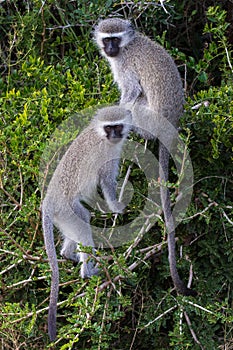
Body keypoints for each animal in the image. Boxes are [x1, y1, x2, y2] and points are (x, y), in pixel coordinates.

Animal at [42, 105, 132, 340]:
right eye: (109, 128)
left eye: (117, 126)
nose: (114, 135)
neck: (100, 136)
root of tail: (48, 203)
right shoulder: (107, 158)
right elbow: (106, 183)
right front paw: (117, 207)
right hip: (67, 209)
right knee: (83, 219)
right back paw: (87, 271)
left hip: (62, 216)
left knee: (78, 226)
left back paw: (69, 255)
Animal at [93, 17, 196, 296]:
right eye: (107, 39)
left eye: (115, 39)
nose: (110, 49)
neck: (128, 46)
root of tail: (169, 127)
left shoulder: (125, 66)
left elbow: (130, 92)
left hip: (145, 119)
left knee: (134, 104)